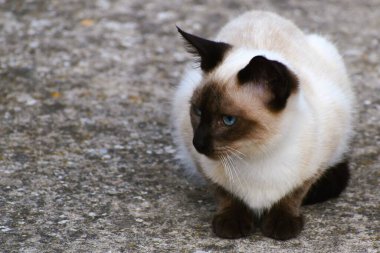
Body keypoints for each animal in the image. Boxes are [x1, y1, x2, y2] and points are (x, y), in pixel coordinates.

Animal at [171, 11, 354, 241]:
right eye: (198, 111)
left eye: (228, 120)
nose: (198, 143)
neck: (257, 153)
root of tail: (260, 13)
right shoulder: (200, 162)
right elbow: (224, 193)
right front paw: (232, 223)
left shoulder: (319, 161)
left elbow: (294, 194)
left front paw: (281, 224)